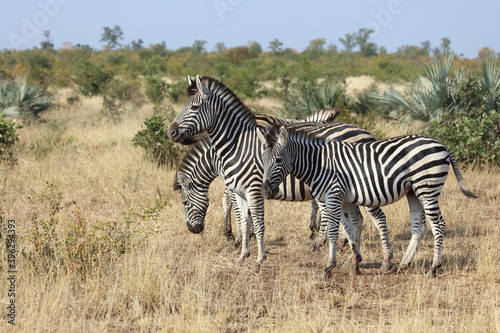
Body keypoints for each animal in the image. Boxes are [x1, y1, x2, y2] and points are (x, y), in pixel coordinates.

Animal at [168, 76, 394, 272]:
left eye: (194, 107)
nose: (171, 132)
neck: (236, 146)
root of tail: (366, 133)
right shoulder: (238, 189)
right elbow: (244, 220)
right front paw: (242, 254)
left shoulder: (251, 189)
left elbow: (252, 220)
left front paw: (252, 252)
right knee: (356, 220)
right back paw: (349, 254)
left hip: (365, 186)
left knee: (378, 218)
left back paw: (385, 260)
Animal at [260, 123, 478, 276]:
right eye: (263, 160)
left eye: (278, 160)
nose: (264, 190)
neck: (319, 163)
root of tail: (443, 145)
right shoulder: (345, 200)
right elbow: (349, 230)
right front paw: (355, 263)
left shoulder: (333, 196)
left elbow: (333, 232)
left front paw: (329, 267)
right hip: (413, 191)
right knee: (419, 225)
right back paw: (403, 264)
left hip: (427, 187)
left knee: (438, 224)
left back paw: (433, 268)